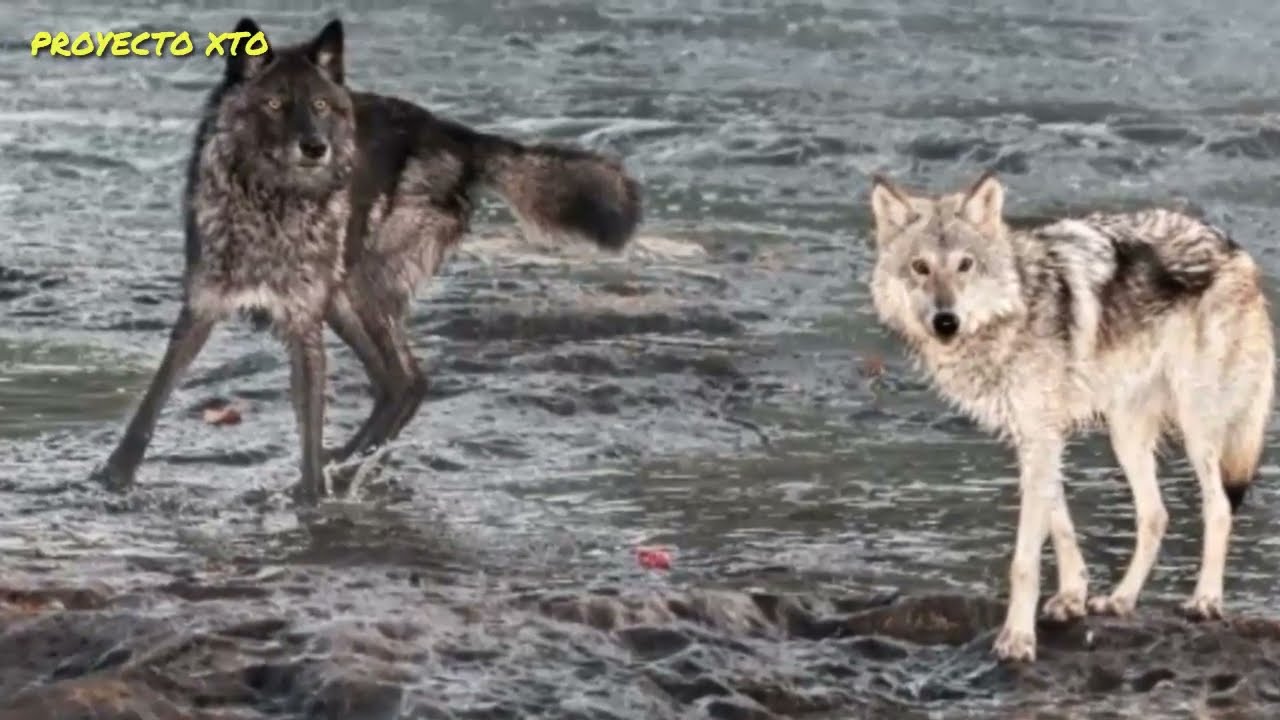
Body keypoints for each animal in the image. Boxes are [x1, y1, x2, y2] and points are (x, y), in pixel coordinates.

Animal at [89, 18, 642, 503]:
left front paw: (310, 499)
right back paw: (348, 462)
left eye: (318, 105)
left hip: (357, 288)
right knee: (397, 382)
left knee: (408, 381)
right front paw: (115, 477)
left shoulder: (303, 326)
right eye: (274, 103)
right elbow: (153, 400)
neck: (271, 205)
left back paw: (343, 467)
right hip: (343, 297)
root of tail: (454, 133)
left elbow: (309, 428)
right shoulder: (202, 306)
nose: (315, 147)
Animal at [866, 170, 1274, 662]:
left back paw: (1205, 600)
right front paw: (1074, 596)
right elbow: (1060, 524)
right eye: (920, 267)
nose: (946, 321)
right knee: (1155, 514)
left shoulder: (1042, 438)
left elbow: (1025, 559)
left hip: (1197, 427)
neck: (1013, 313)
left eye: (965, 265)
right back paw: (1120, 599)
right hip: (1125, 433)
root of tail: (1236, 250)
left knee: (1217, 508)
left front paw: (1017, 638)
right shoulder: (1034, 437)